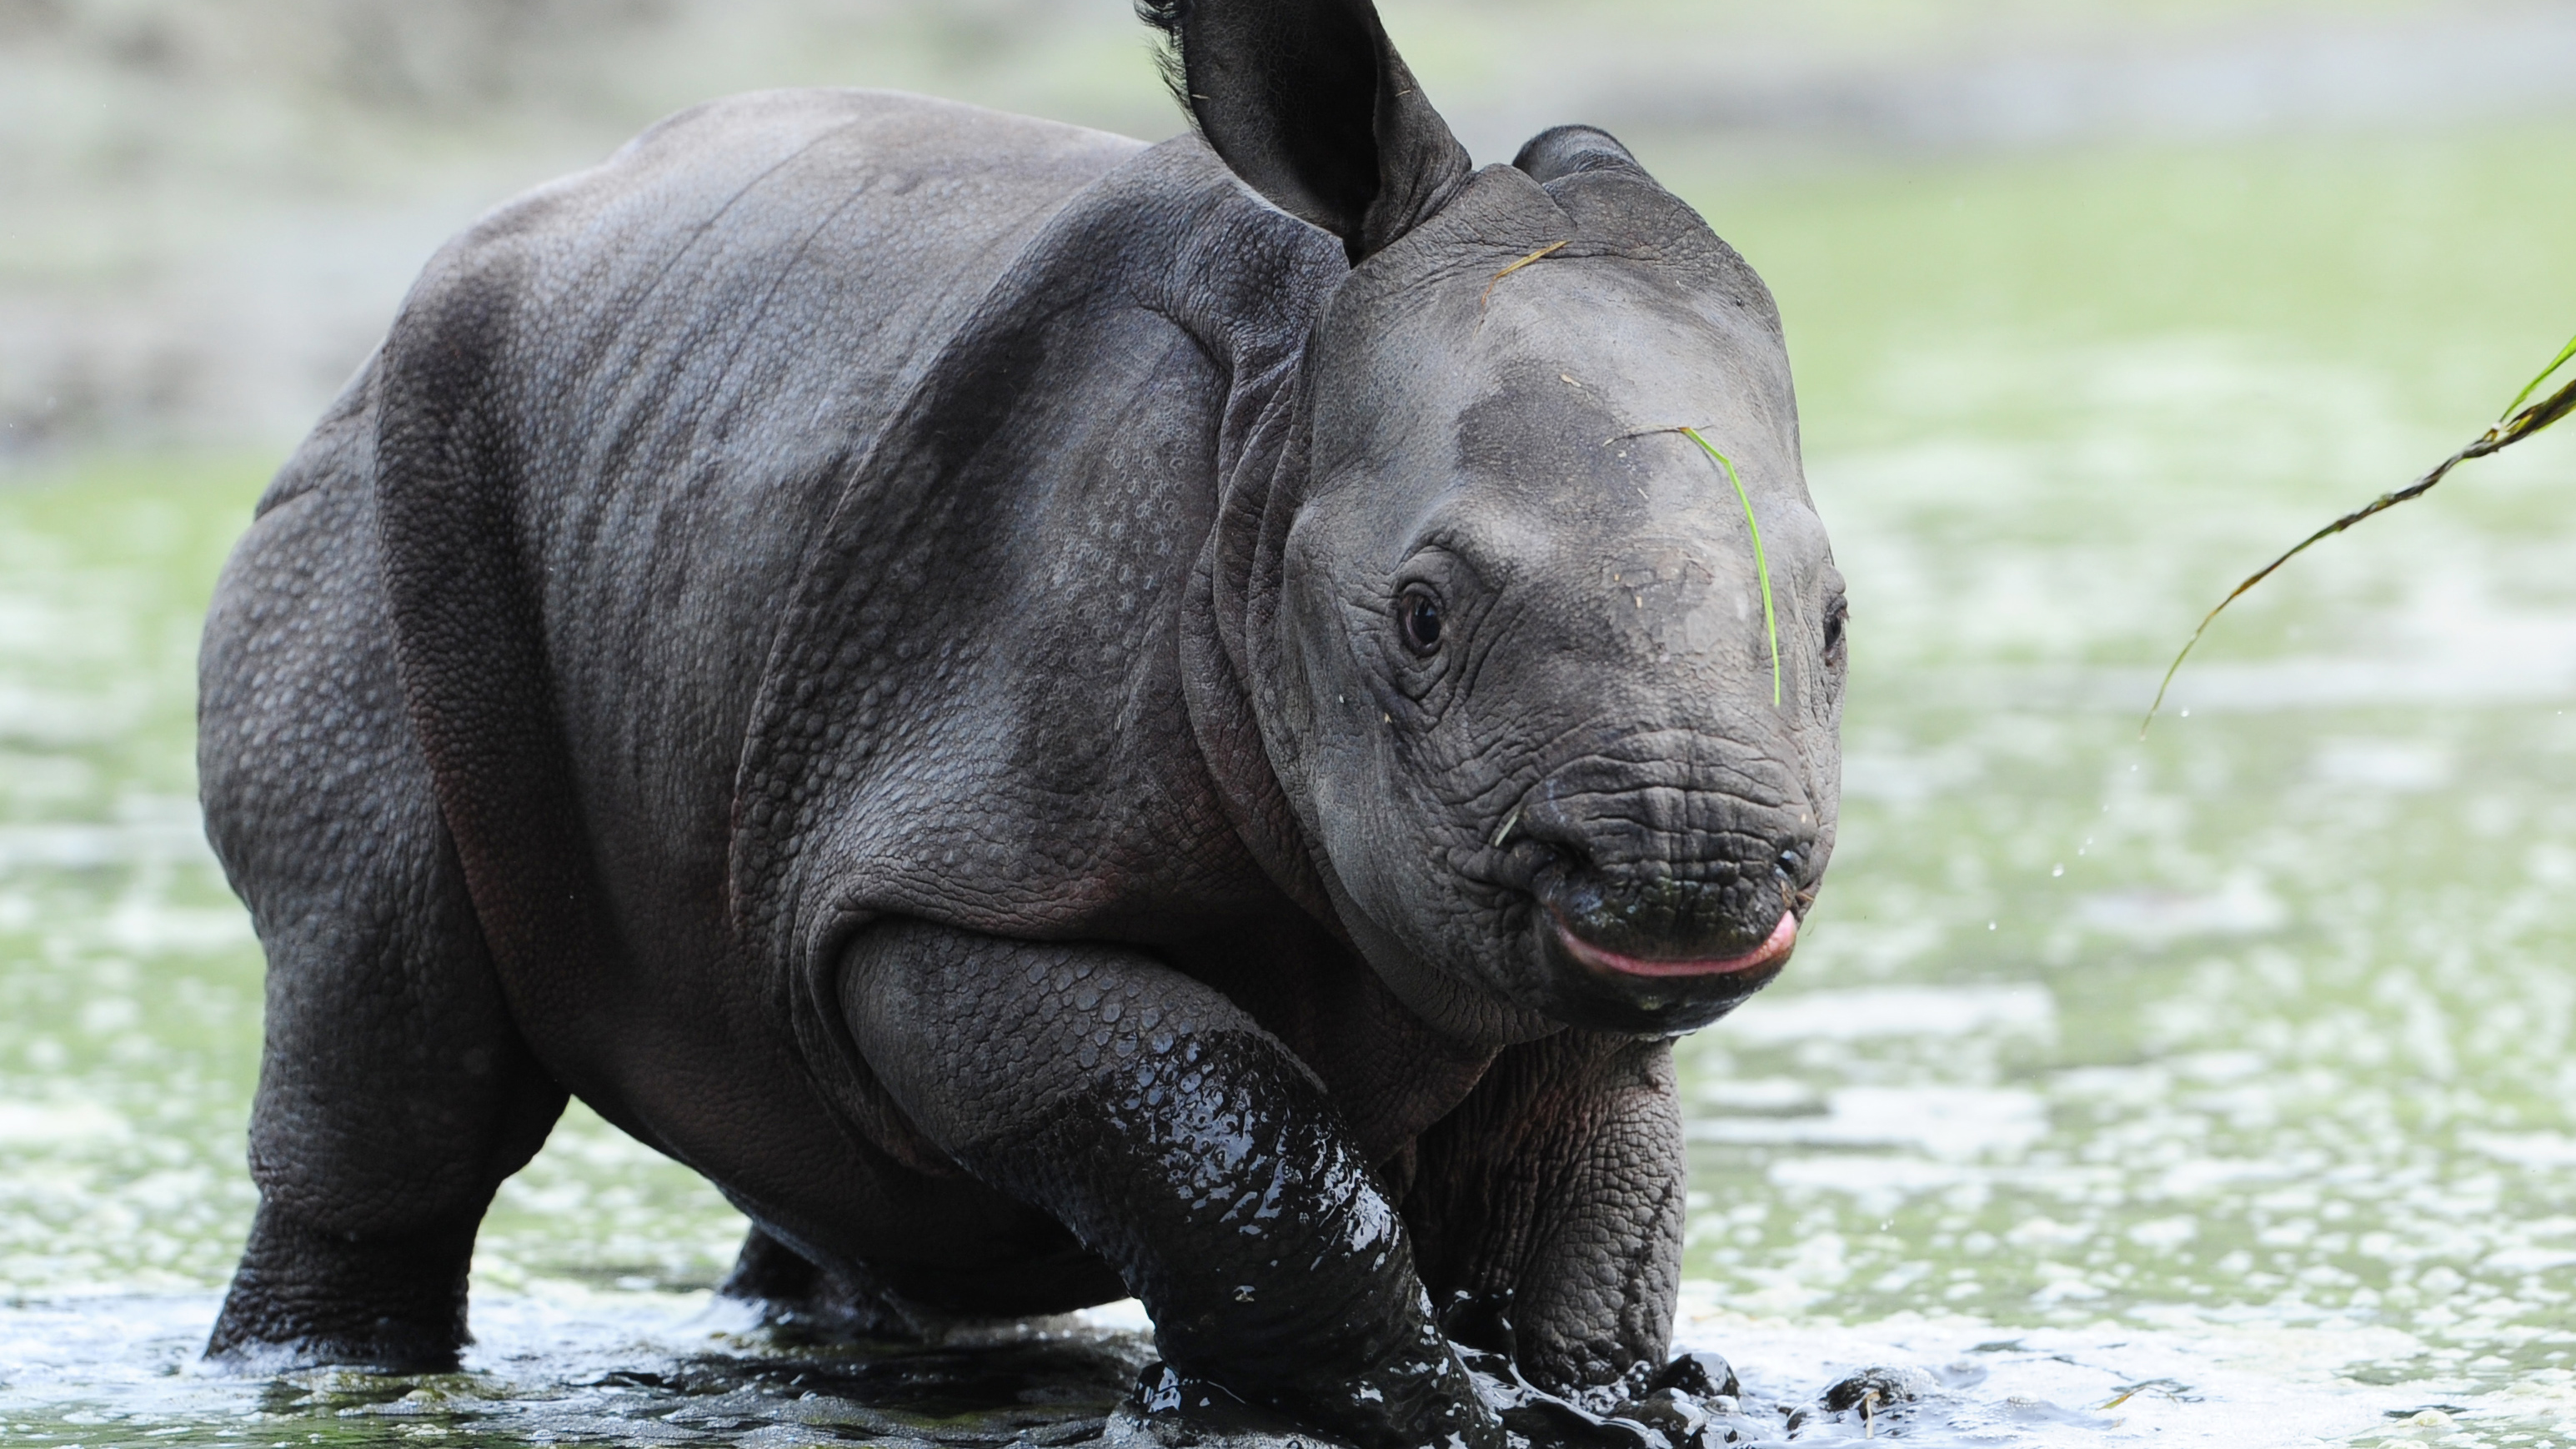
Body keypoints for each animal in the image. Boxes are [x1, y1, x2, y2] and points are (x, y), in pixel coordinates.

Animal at [195, 0, 1845, 1442]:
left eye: (1833, 623)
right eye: (1423, 615)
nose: (1691, 867)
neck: (1278, 421)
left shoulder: (1548, 971)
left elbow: (1580, 1228)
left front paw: (1590, 1403)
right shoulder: (937, 886)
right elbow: (1218, 1125)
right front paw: (1400, 1409)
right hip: (386, 498)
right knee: (394, 1047)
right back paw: (319, 1376)